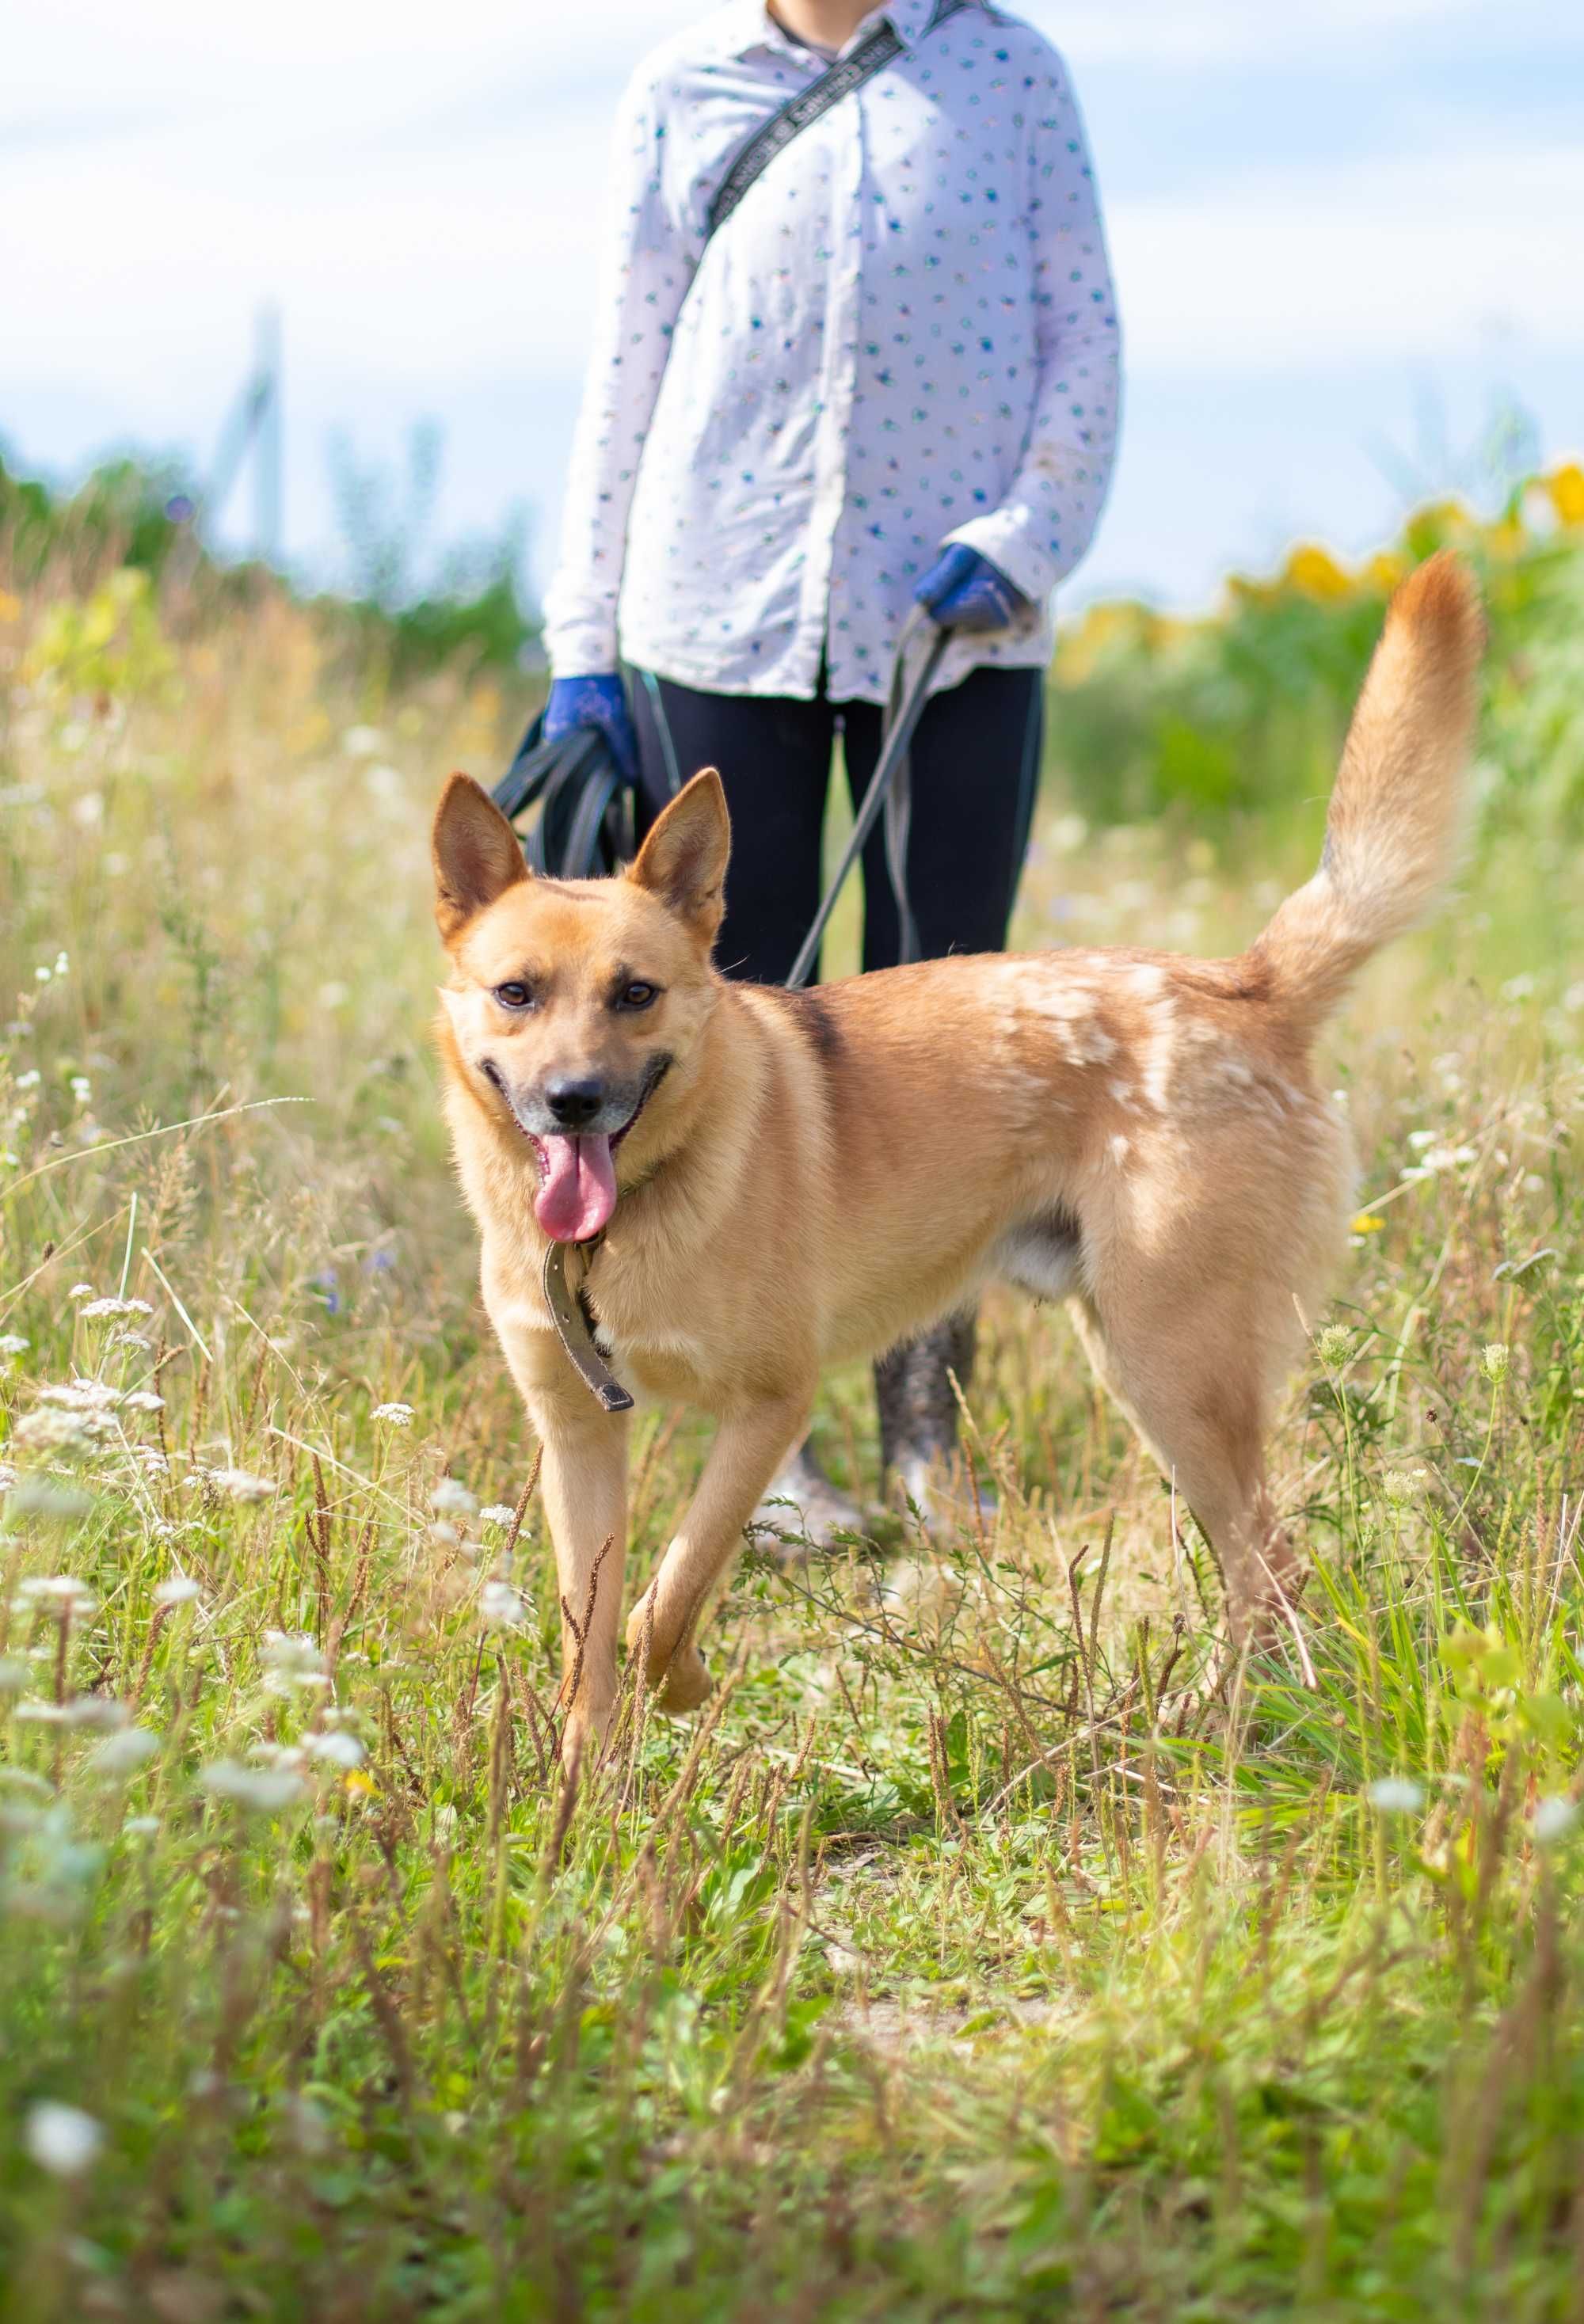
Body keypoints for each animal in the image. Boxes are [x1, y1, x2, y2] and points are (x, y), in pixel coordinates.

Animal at [425, 553, 1479, 1748]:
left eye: (635, 994)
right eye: (516, 993)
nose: (574, 1103)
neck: (624, 1222)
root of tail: (1241, 983)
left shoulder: (767, 1408)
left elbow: (670, 1591)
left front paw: (683, 1682)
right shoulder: (577, 1441)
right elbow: (591, 1641)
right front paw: (588, 1773)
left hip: (1174, 1372)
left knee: (1273, 1571)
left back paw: (1222, 1723)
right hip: (1147, 1367)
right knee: (1259, 1567)